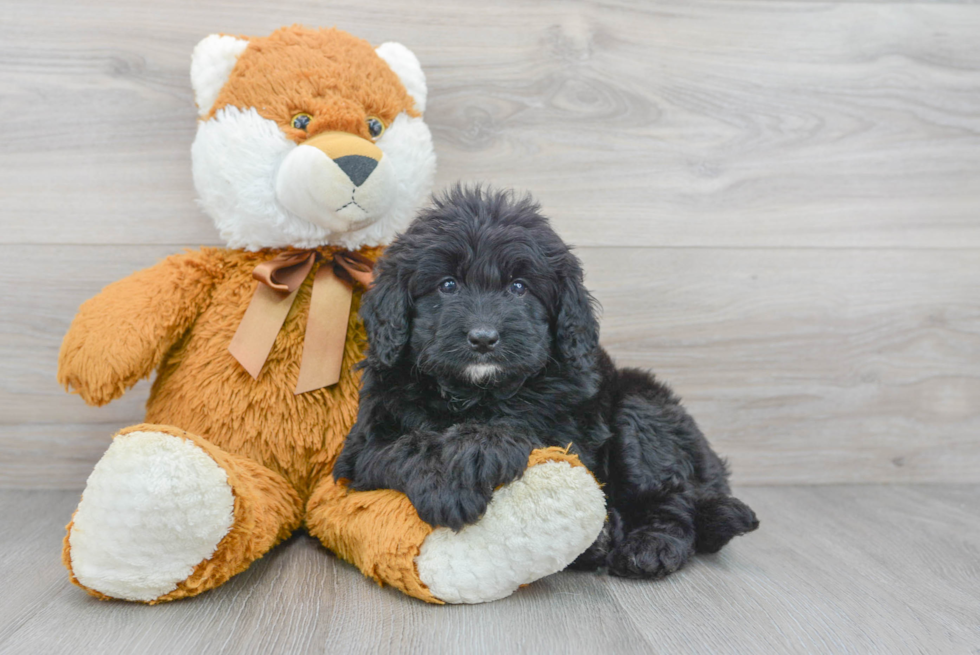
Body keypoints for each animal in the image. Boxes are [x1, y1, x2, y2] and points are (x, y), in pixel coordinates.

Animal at [334, 184, 756, 580]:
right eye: (448, 285)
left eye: (519, 287)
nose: (483, 338)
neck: (474, 393)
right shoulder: (359, 450)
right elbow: (405, 446)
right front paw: (444, 486)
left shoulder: (568, 426)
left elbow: (523, 428)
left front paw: (479, 448)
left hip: (642, 410)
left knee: (672, 498)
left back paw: (647, 546)